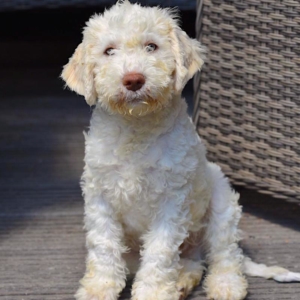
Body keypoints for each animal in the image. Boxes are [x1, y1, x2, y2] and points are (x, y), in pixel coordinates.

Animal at [61, 1, 300, 298]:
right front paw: (98, 288)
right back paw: (183, 280)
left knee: (224, 254)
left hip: (222, 203)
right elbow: (104, 245)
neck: (137, 126)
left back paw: (225, 285)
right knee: (191, 260)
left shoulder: (171, 200)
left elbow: (160, 251)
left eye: (151, 46)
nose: (133, 80)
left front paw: (152, 293)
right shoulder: (99, 195)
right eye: (109, 51)